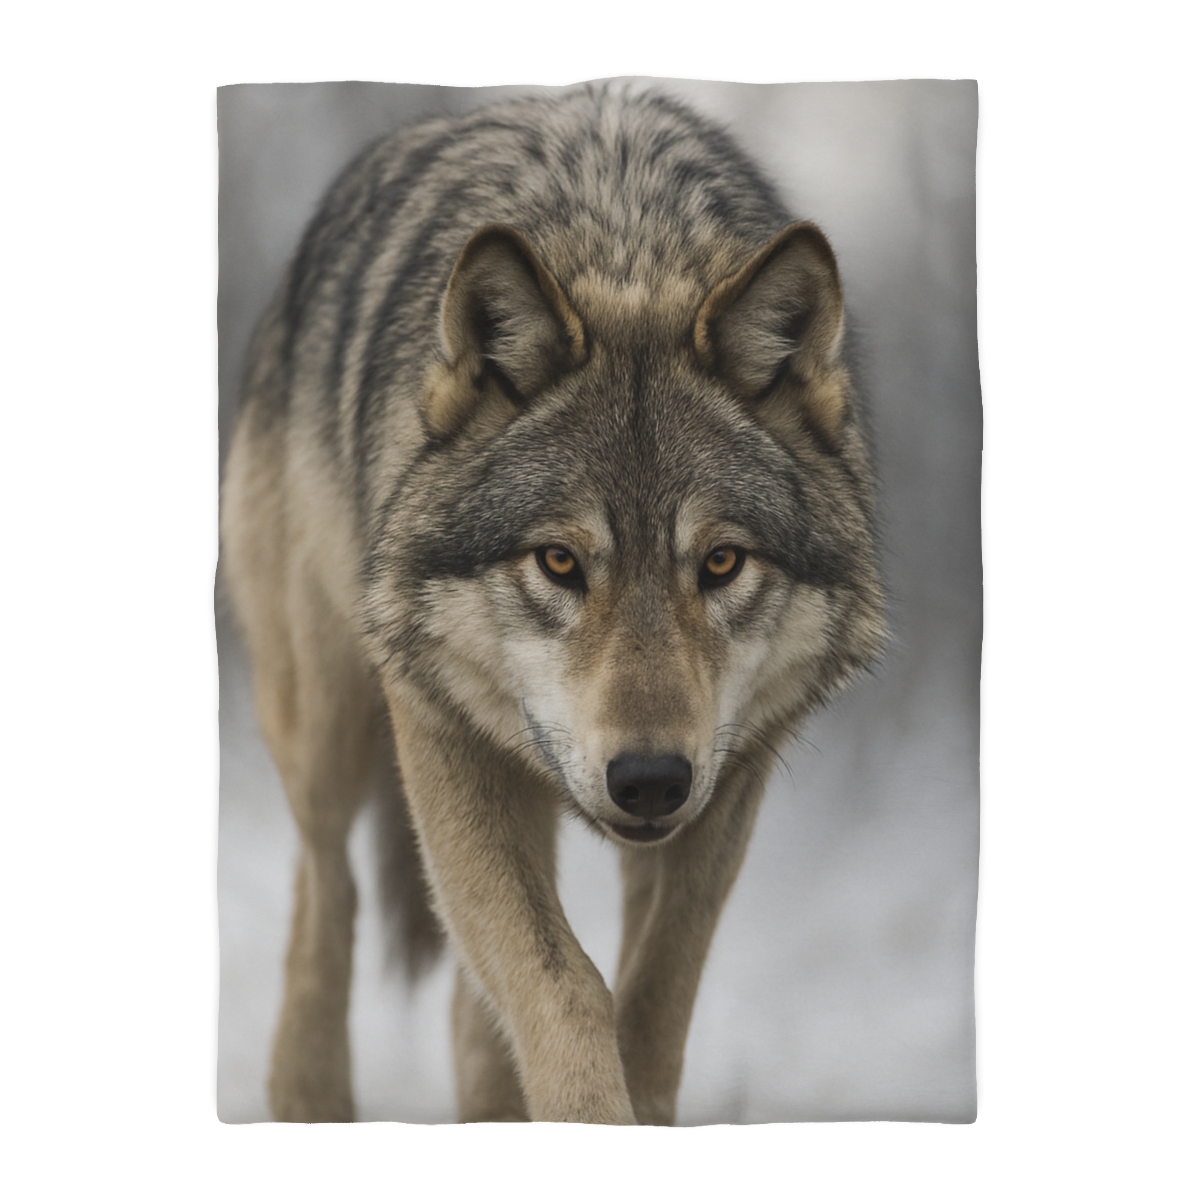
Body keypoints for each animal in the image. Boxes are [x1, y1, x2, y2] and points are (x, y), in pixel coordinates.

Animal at [220, 85, 886, 1125]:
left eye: (722, 562)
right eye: (561, 561)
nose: (649, 780)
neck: (625, 243)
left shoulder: (731, 776)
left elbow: (651, 1000)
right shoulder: (441, 737)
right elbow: (568, 986)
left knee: (468, 1010)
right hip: (326, 726)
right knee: (325, 904)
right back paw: (310, 1099)